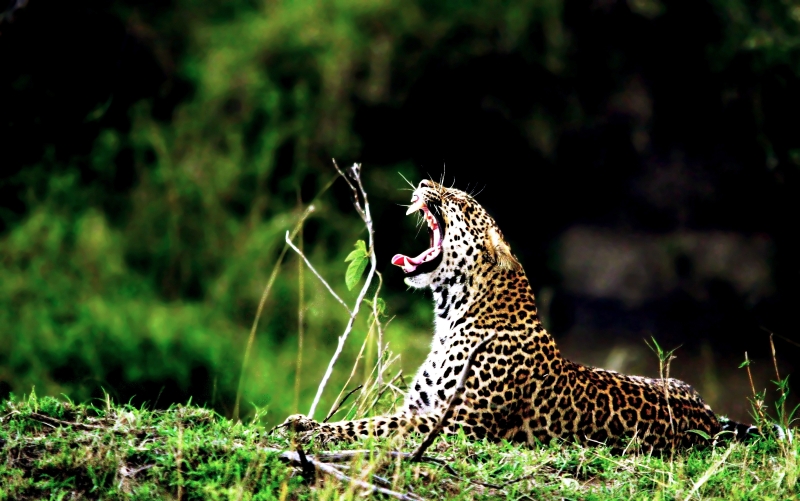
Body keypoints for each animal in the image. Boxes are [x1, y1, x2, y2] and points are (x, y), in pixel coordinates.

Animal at [286, 179, 764, 450]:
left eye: (459, 200)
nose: (423, 179)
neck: (452, 313)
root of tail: (708, 415)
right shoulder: (423, 407)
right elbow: (376, 419)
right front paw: (305, 421)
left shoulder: (455, 420)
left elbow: (373, 425)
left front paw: (312, 432)